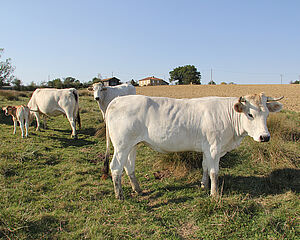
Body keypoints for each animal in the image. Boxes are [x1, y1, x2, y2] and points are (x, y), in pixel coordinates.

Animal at [105, 92, 284, 199]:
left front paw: (204, 185)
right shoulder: (214, 148)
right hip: (121, 146)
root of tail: (118, 99)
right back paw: (119, 195)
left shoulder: (207, 149)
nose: (264, 137)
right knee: (116, 168)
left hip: (132, 145)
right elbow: (214, 172)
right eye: (250, 114)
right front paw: (214, 194)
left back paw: (138, 189)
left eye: (267, 114)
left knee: (129, 166)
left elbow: (205, 166)